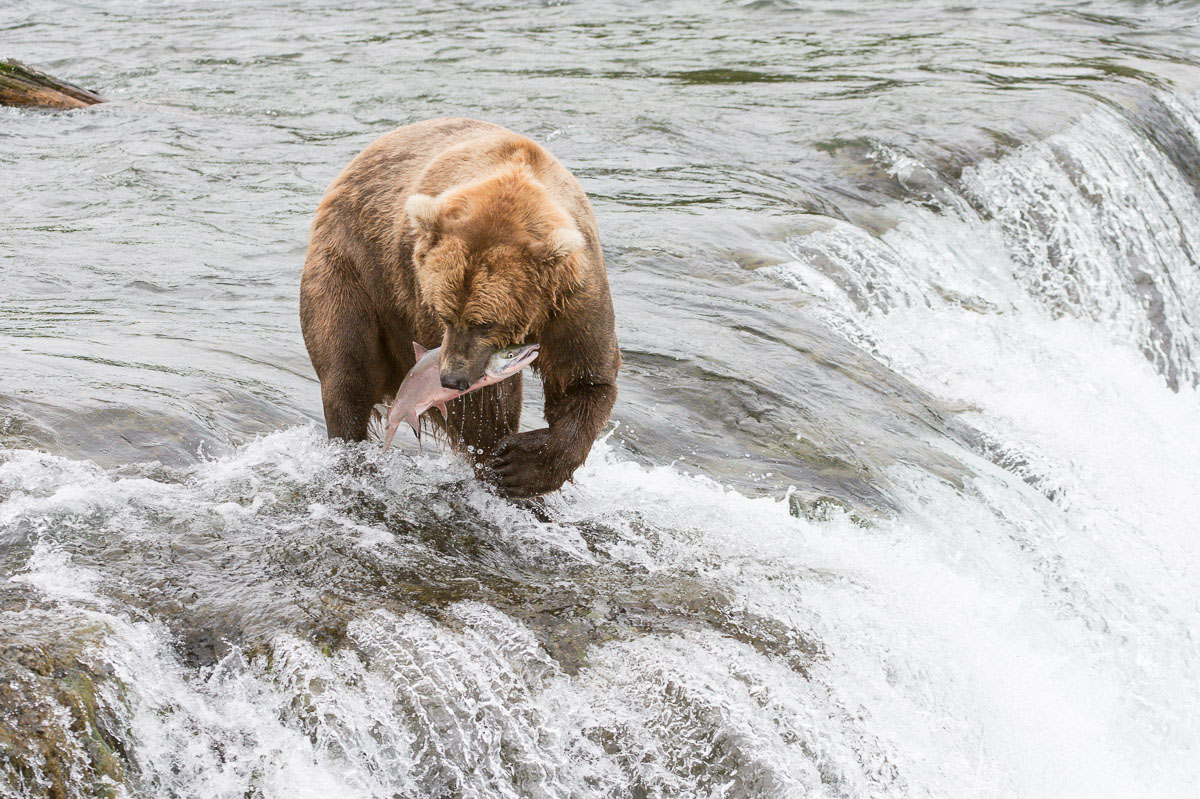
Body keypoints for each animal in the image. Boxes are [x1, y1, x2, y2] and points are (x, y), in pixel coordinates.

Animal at [300, 116, 624, 499]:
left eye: (486, 323)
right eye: (444, 315)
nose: (451, 378)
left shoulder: (572, 299)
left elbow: (585, 378)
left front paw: (520, 466)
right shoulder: (417, 286)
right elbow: (482, 408)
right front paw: (497, 458)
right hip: (351, 271)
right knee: (347, 371)